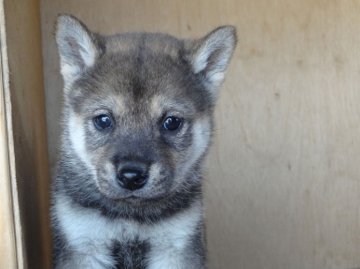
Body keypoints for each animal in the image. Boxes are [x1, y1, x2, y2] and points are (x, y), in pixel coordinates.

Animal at [51, 14, 236, 268]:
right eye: (103, 120)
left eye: (172, 122)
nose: (131, 176)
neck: (131, 215)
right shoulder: (84, 246)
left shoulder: (175, 248)